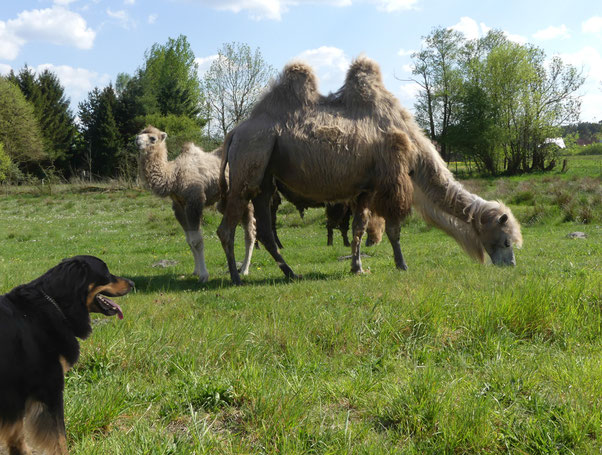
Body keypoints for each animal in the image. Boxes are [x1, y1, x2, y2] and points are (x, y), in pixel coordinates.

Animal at [0, 256, 132, 455]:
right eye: (106, 273)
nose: (132, 283)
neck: (56, 304)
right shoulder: (50, 390)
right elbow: (60, 439)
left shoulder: (16, 399)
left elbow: (17, 437)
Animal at [135, 126, 253, 284]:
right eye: (139, 134)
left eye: (153, 138)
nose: (136, 140)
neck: (173, 175)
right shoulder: (179, 205)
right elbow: (189, 240)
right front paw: (196, 271)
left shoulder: (195, 201)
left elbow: (197, 241)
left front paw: (204, 275)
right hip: (225, 201)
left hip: (244, 195)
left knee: (250, 231)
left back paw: (245, 269)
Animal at [217, 57, 520, 284]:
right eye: (506, 242)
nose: (511, 266)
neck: (414, 148)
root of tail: (234, 133)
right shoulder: (390, 181)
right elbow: (394, 229)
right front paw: (401, 265)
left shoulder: (365, 188)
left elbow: (359, 227)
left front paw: (357, 267)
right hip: (250, 159)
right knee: (226, 227)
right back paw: (236, 276)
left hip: (266, 179)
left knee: (264, 230)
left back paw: (290, 272)